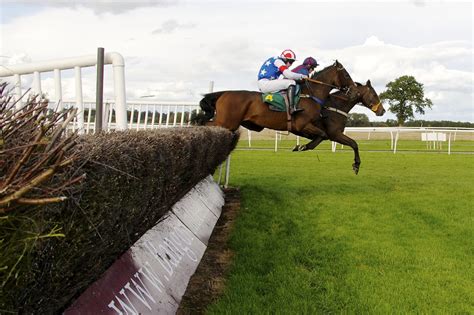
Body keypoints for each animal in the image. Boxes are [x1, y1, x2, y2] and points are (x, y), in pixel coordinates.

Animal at [191, 61, 358, 140]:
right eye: (347, 75)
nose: (354, 90)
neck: (310, 94)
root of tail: (224, 93)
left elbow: (321, 135)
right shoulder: (302, 124)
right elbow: (322, 134)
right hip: (226, 122)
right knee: (204, 124)